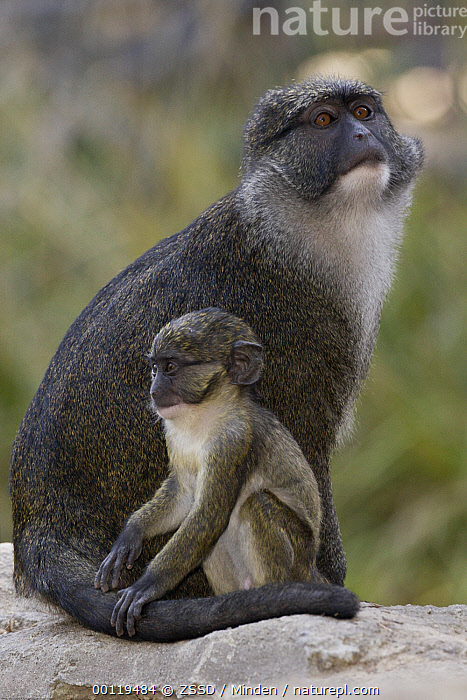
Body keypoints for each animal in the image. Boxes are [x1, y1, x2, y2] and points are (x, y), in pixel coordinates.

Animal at [95, 308, 344, 636]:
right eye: (154, 368)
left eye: (171, 367)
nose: (154, 390)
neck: (204, 417)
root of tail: (311, 569)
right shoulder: (173, 437)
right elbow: (184, 498)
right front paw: (131, 533)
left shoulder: (232, 443)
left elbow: (208, 515)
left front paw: (146, 585)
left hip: (297, 560)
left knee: (258, 504)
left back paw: (272, 597)